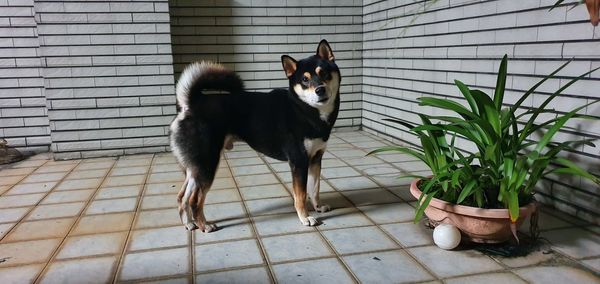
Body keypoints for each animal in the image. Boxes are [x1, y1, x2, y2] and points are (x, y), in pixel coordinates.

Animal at [169, 39, 340, 231]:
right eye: (305, 79)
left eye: (324, 73)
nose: (320, 90)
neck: (304, 109)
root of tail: (189, 104)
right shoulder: (299, 162)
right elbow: (301, 195)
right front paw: (305, 218)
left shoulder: (316, 158)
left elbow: (315, 188)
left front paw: (318, 207)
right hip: (207, 165)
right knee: (194, 199)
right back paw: (204, 225)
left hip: (195, 168)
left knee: (182, 196)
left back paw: (189, 223)